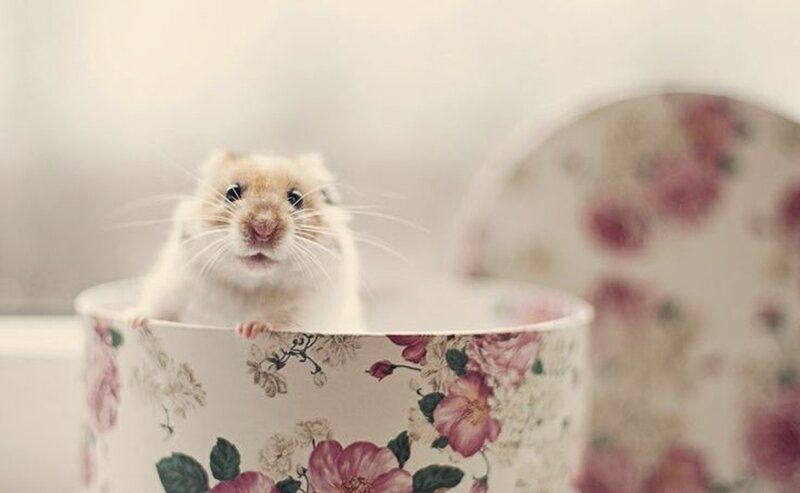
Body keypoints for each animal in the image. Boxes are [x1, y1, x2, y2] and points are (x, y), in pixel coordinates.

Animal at [134, 150, 364, 338]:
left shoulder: (310, 311)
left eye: (296, 198)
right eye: (232, 192)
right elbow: (158, 309)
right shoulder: (174, 284)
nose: (263, 229)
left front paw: (249, 328)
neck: (250, 286)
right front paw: (135, 320)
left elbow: (282, 321)